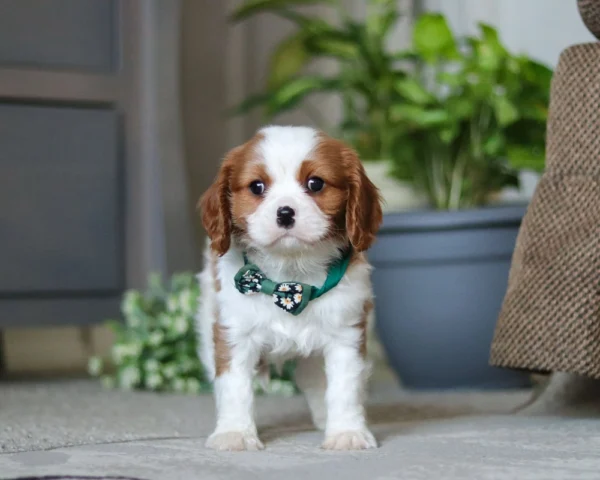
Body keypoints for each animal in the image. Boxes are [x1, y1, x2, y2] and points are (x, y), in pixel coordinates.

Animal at [197, 125, 384, 452]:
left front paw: (346, 432)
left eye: (315, 183)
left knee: (316, 380)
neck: (289, 278)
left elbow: (344, 388)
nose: (285, 213)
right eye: (257, 187)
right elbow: (234, 387)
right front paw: (234, 433)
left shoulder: (346, 333)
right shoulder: (234, 333)